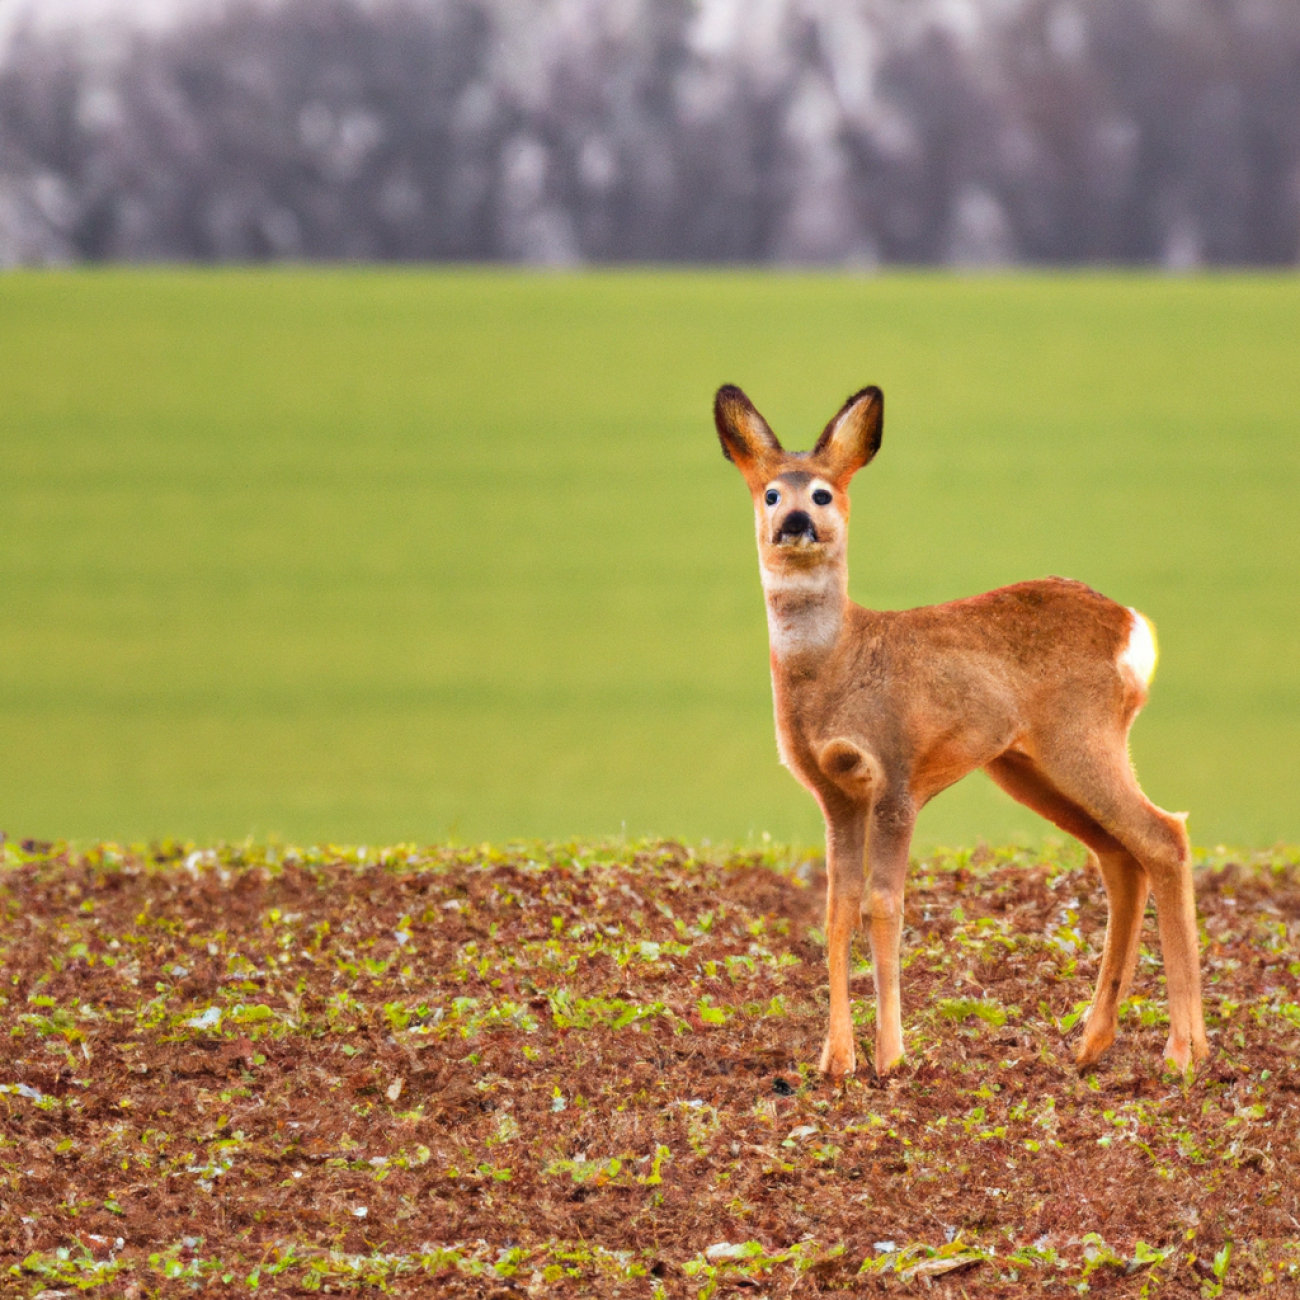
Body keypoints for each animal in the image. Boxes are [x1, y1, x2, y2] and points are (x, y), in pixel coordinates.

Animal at [712, 379, 1206, 1081]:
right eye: (772, 493)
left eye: (824, 494)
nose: (796, 525)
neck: (838, 664)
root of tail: (1133, 627)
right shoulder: (833, 791)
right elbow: (837, 910)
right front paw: (835, 1060)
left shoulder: (894, 771)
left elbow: (883, 904)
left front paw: (891, 1056)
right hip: (1026, 764)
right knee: (1120, 856)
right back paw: (1091, 1042)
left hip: (1080, 736)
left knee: (1164, 835)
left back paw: (1184, 1052)